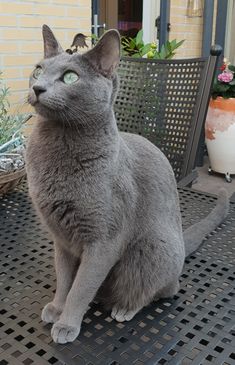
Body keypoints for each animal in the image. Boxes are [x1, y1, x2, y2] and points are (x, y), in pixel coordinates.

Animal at [26, 24, 229, 342]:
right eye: (38, 70)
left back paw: (124, 308)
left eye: (70, 77)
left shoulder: (103, 241)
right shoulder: (61, 238)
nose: (37, 88)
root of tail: (181, 245)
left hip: (153, 248)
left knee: (163, 290)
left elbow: (81, 287)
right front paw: (57, 308)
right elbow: (64, 279)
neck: (58, 144)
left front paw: (67, 323)